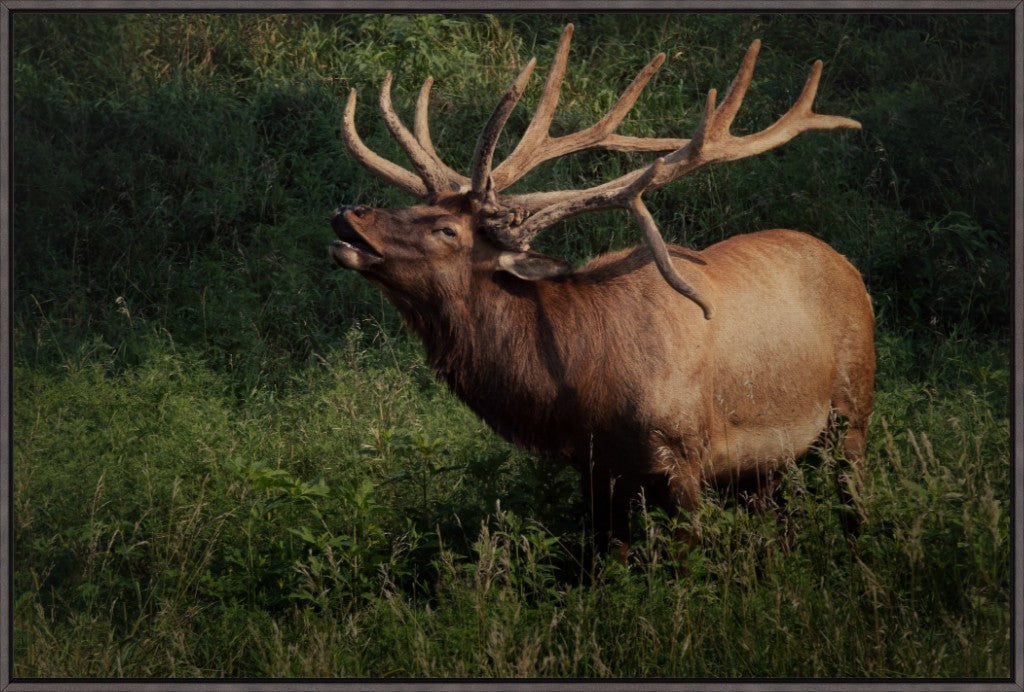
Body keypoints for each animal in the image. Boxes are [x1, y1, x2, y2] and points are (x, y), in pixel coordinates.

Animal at [331, 24, 876, 560]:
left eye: (446, 229)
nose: (348, 212)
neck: (580, 385)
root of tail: (848, 265)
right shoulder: (596, 468)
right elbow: (605, 561)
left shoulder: (685, 454)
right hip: (766, 463)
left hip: (853, 410)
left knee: (853, 500)